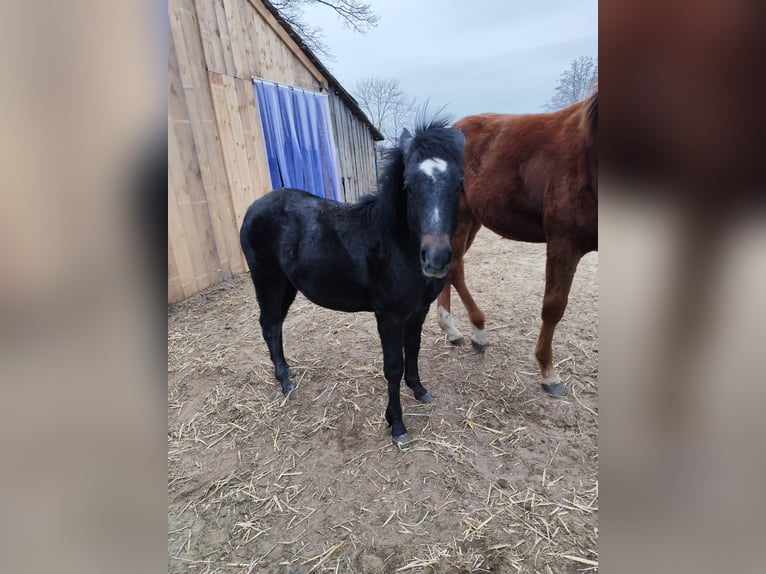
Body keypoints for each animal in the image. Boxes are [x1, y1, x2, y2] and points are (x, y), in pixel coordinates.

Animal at [243, 117, 464, 450]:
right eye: (409, 188)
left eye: (458, 184)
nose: (436, 259)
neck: (395, 244)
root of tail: (253, 208)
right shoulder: (389, 316)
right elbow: (393, 366)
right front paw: (397, 425)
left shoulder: (419, 310)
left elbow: (413, 350)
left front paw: (419, 390)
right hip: (267, 281)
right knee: (269, 325)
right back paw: (285, 383)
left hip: (286, 286)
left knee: (275, 325)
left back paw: (285, 373)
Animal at [438, 94, 600, 398]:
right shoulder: (564, 241)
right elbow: (553, 306)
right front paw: (548, 372)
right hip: (460, 216)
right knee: (454, 268)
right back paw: (477, 331)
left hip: (474, 219)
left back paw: (451, 330)